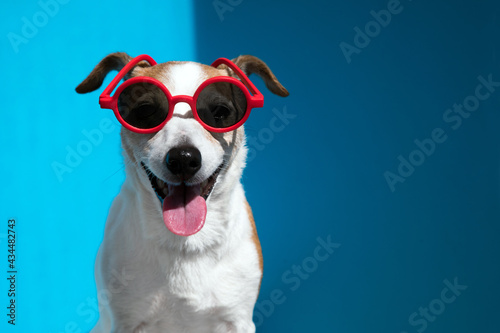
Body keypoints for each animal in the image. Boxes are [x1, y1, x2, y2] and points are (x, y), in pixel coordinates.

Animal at [77, 52, 290, 332]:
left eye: (220, 113)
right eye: (145, 111)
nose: (183, 158)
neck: (186, 242)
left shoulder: (237, 319)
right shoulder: (126, 321)